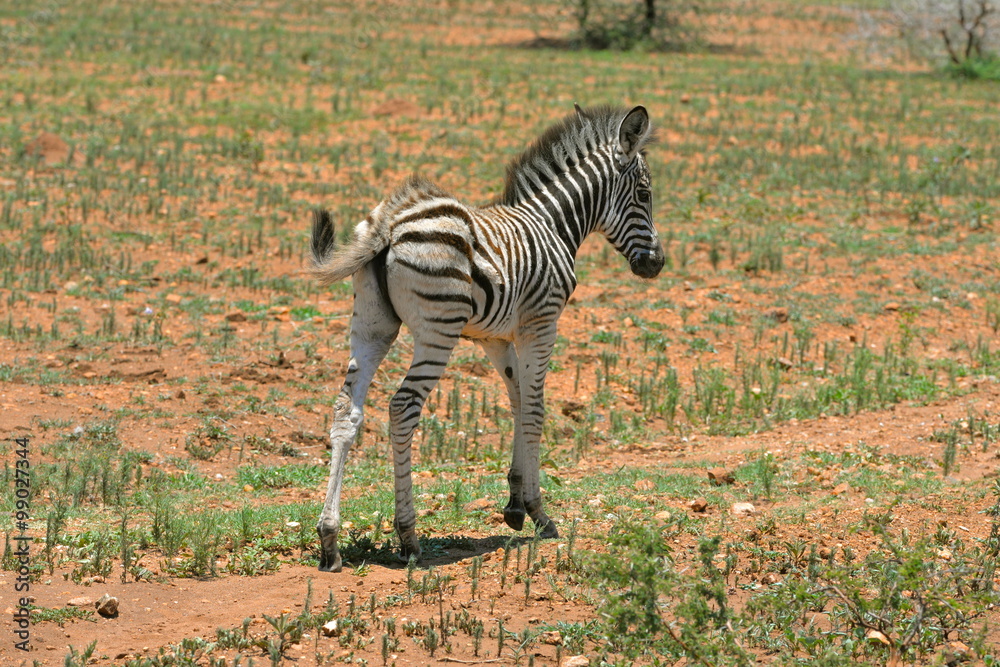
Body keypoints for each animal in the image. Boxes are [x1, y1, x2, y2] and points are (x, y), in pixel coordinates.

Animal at [310, 104, 664, 572]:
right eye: (644, 193)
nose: (656, 264)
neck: (554, 225)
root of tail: (389, 223)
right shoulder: (541, 323)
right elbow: (535, 411)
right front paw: (539, 513)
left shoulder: (494, 337)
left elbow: (517, 401)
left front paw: (515, 505)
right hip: (437, 331)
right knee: (402, 408)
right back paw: (408, 537)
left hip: (371, 325)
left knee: (345, 411)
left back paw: (329, 540)